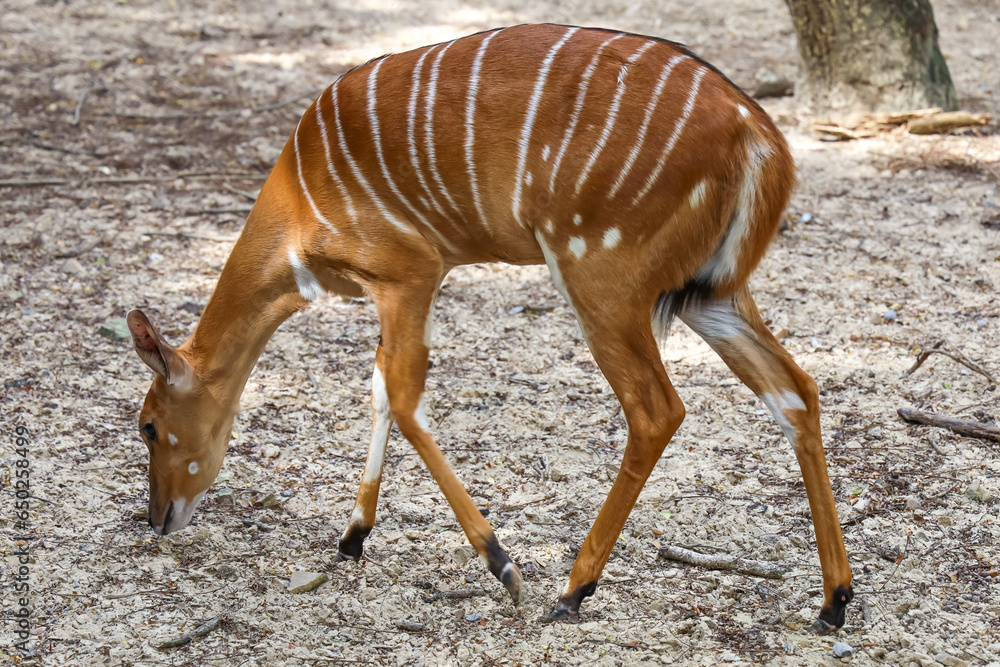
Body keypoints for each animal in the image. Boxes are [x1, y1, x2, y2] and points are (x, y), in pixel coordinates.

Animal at [127, 24, 852, 632]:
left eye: (149, 426)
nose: (158, 517)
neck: (298, 209)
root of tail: (759, 137)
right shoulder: (402, 286)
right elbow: (378, 389)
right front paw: (352, 536)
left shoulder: (409, 270)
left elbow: (403, 396)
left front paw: (502, 563)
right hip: (710, 293)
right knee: (796, 389)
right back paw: (834, 601)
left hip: (600, 274)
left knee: (657, 409)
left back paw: (572, 589)